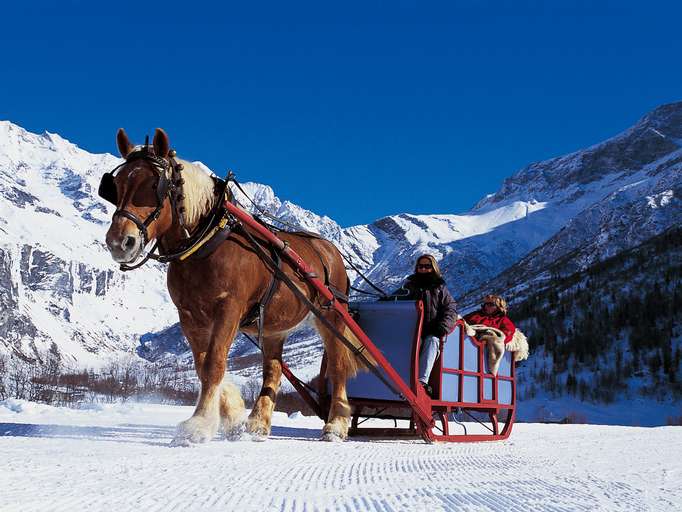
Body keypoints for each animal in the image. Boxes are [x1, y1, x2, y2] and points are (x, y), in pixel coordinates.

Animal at [102, 129, 356, 444]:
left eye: (153, 185)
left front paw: (198, 425)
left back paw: (336, 424)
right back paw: (257, 423)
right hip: (273, 328)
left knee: (338, 366)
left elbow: (214, 363)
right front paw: (232, 416)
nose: (119, 242)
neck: (207, 242)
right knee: (273, 370)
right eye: (116, 185)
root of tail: (329, 250)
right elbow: (202, 365)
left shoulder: (229, 308)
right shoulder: (189, 316)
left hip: (332, 317)